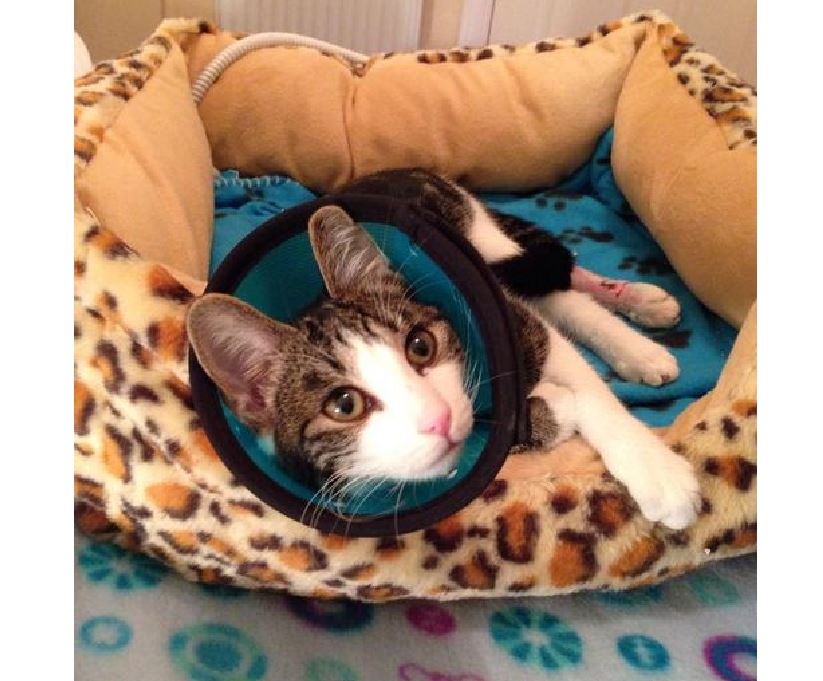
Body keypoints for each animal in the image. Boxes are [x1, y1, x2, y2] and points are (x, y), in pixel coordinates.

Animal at [187, 169, 699, 530]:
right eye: (344, 405)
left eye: (420, 346)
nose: (439, 417)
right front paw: (551, 410)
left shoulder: (516, 321)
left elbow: (582, 382)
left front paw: (656, 469)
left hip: (480, 235)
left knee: (560, 287)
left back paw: (639, 327)